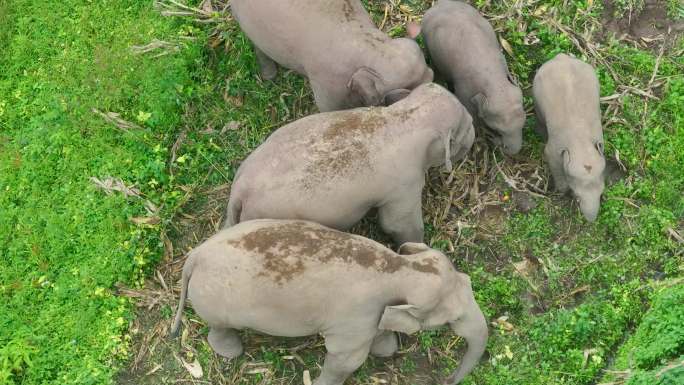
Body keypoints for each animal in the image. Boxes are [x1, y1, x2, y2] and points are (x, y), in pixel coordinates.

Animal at [224, 84, 476, 246]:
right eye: (465, 127)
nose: (476, 133)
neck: (405, 116)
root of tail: (239, 192)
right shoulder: (405, 184)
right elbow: (396, 224)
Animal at [414, 1, 528, 154]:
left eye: (523, 122)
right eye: (497, 129)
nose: (494, 140)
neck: (495, 81)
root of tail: (437, 5)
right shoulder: (465, 91)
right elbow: (472, 115)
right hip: (427, 40)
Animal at [532, 54, 608, 222]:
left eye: (601, 194)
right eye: (578, 197)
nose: (591, 221)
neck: (581, 142)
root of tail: (561, 56)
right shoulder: (554, 147)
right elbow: (551, 157)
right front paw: (563, 191)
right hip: (536, 93)